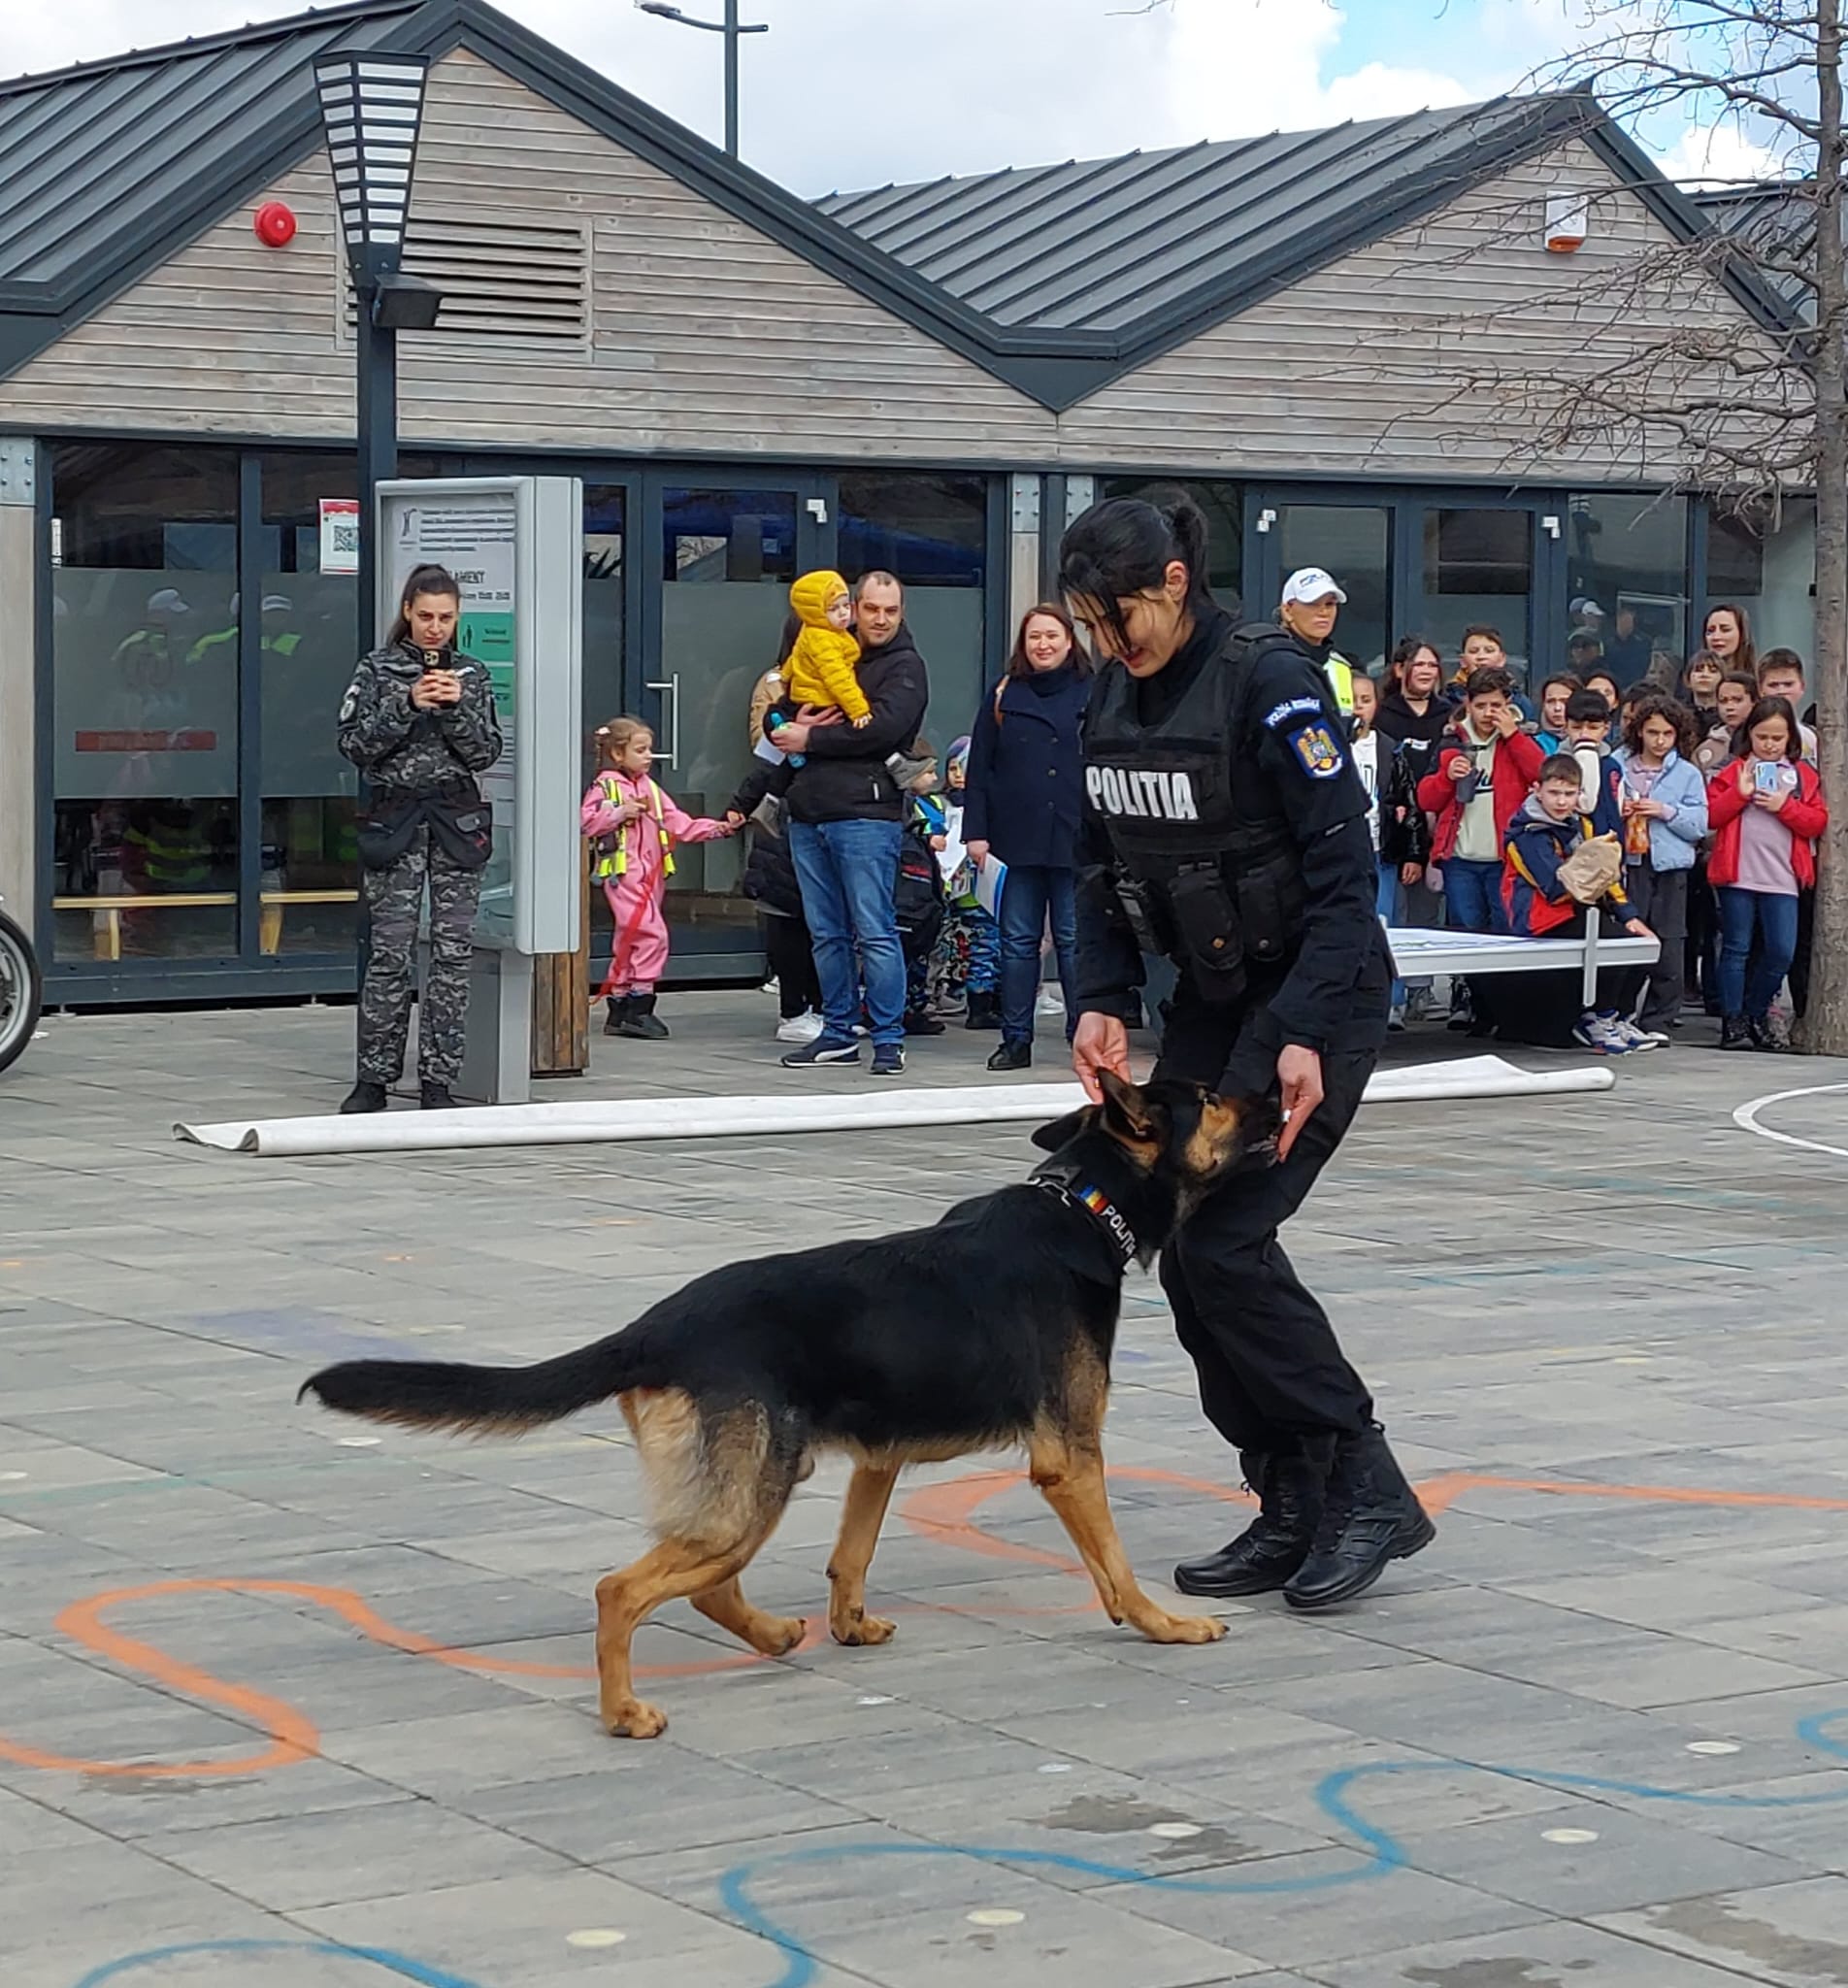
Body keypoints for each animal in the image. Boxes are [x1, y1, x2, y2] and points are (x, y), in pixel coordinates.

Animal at [306, 1073, 1279, 1741]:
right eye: (1212, 1099)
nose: (1277, 1090)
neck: (1083, 1205)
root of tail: (655, 1327)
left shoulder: (880, 1456)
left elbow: (853, 1553)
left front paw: (850, 1624)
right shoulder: (1071, 1457)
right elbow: (1114, 1565)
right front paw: (1165, 1626)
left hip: (752, 1487)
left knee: (706, 1585)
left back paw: (773, 1636)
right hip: (750, 1495)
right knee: (625, 1589)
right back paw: (625, 1711)